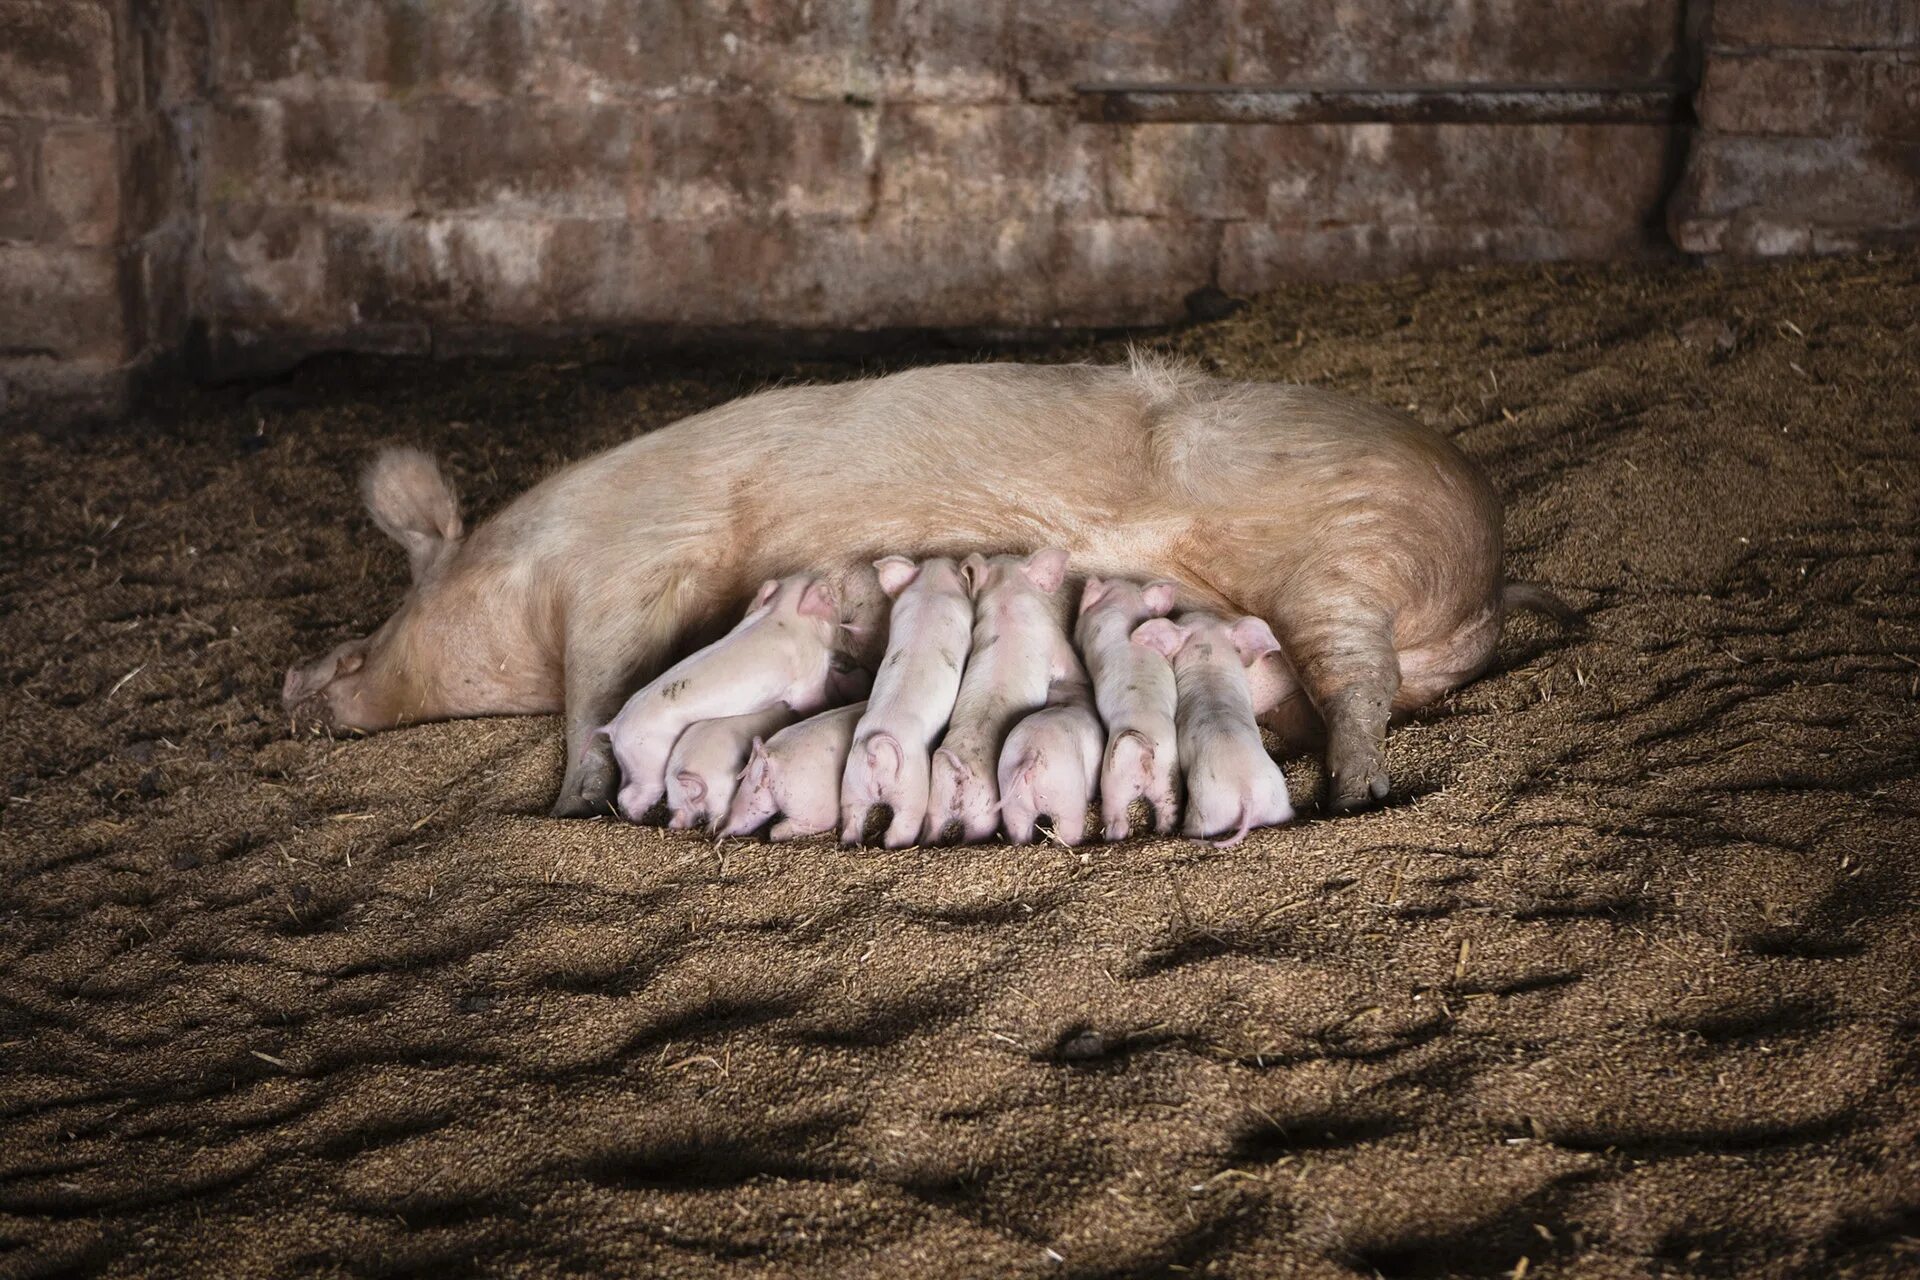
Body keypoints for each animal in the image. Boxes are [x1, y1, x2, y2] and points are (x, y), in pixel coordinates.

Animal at [284, 358, 1566, 821]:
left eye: (360, 646)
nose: (298, 683)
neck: (523, 567)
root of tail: (1489, 580)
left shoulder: (631, 569)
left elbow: (599, 691)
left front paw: (570, 805)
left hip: (1345, 554)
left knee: (1362, 680)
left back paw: (1359, 793)